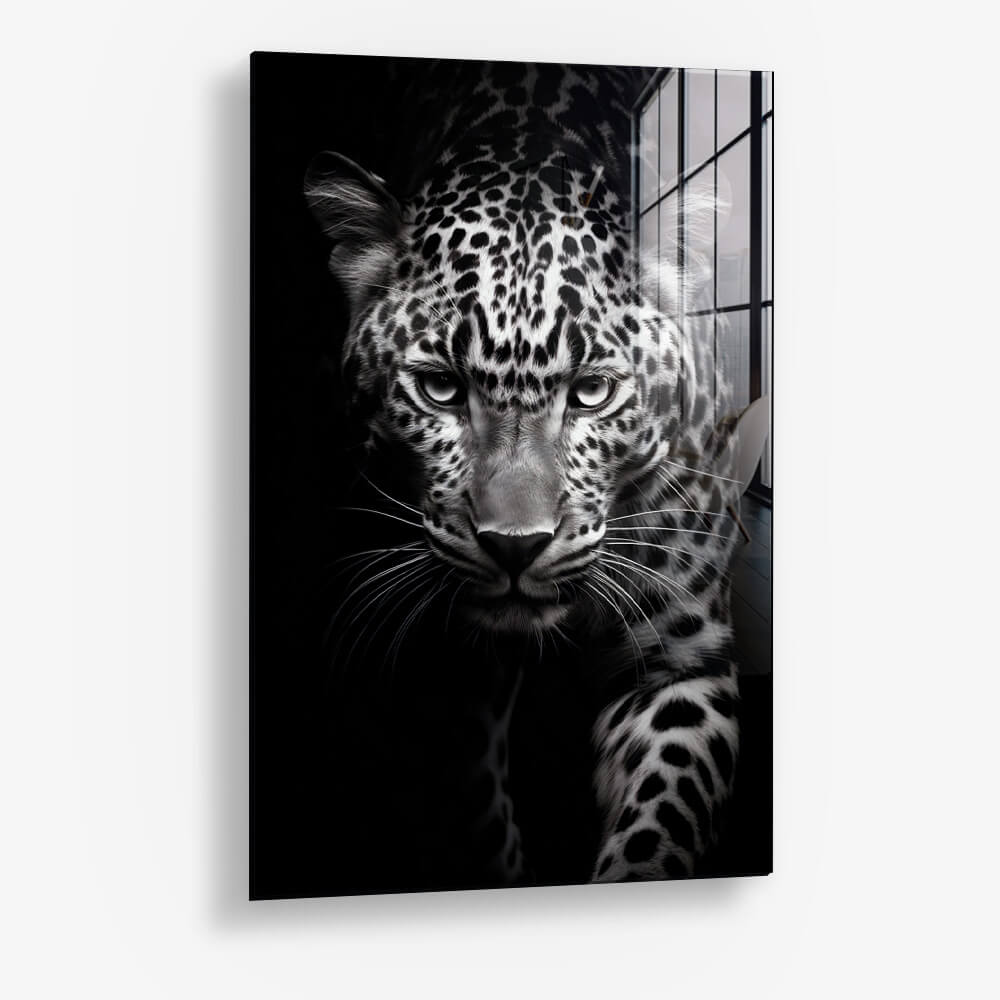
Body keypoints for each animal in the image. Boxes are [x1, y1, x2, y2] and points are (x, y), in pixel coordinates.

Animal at [306, 59, 743, 887]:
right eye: (440, 388)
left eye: (593, 391)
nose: (516, 546)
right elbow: (472, 801)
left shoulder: (680, 663)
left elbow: (660, 820)